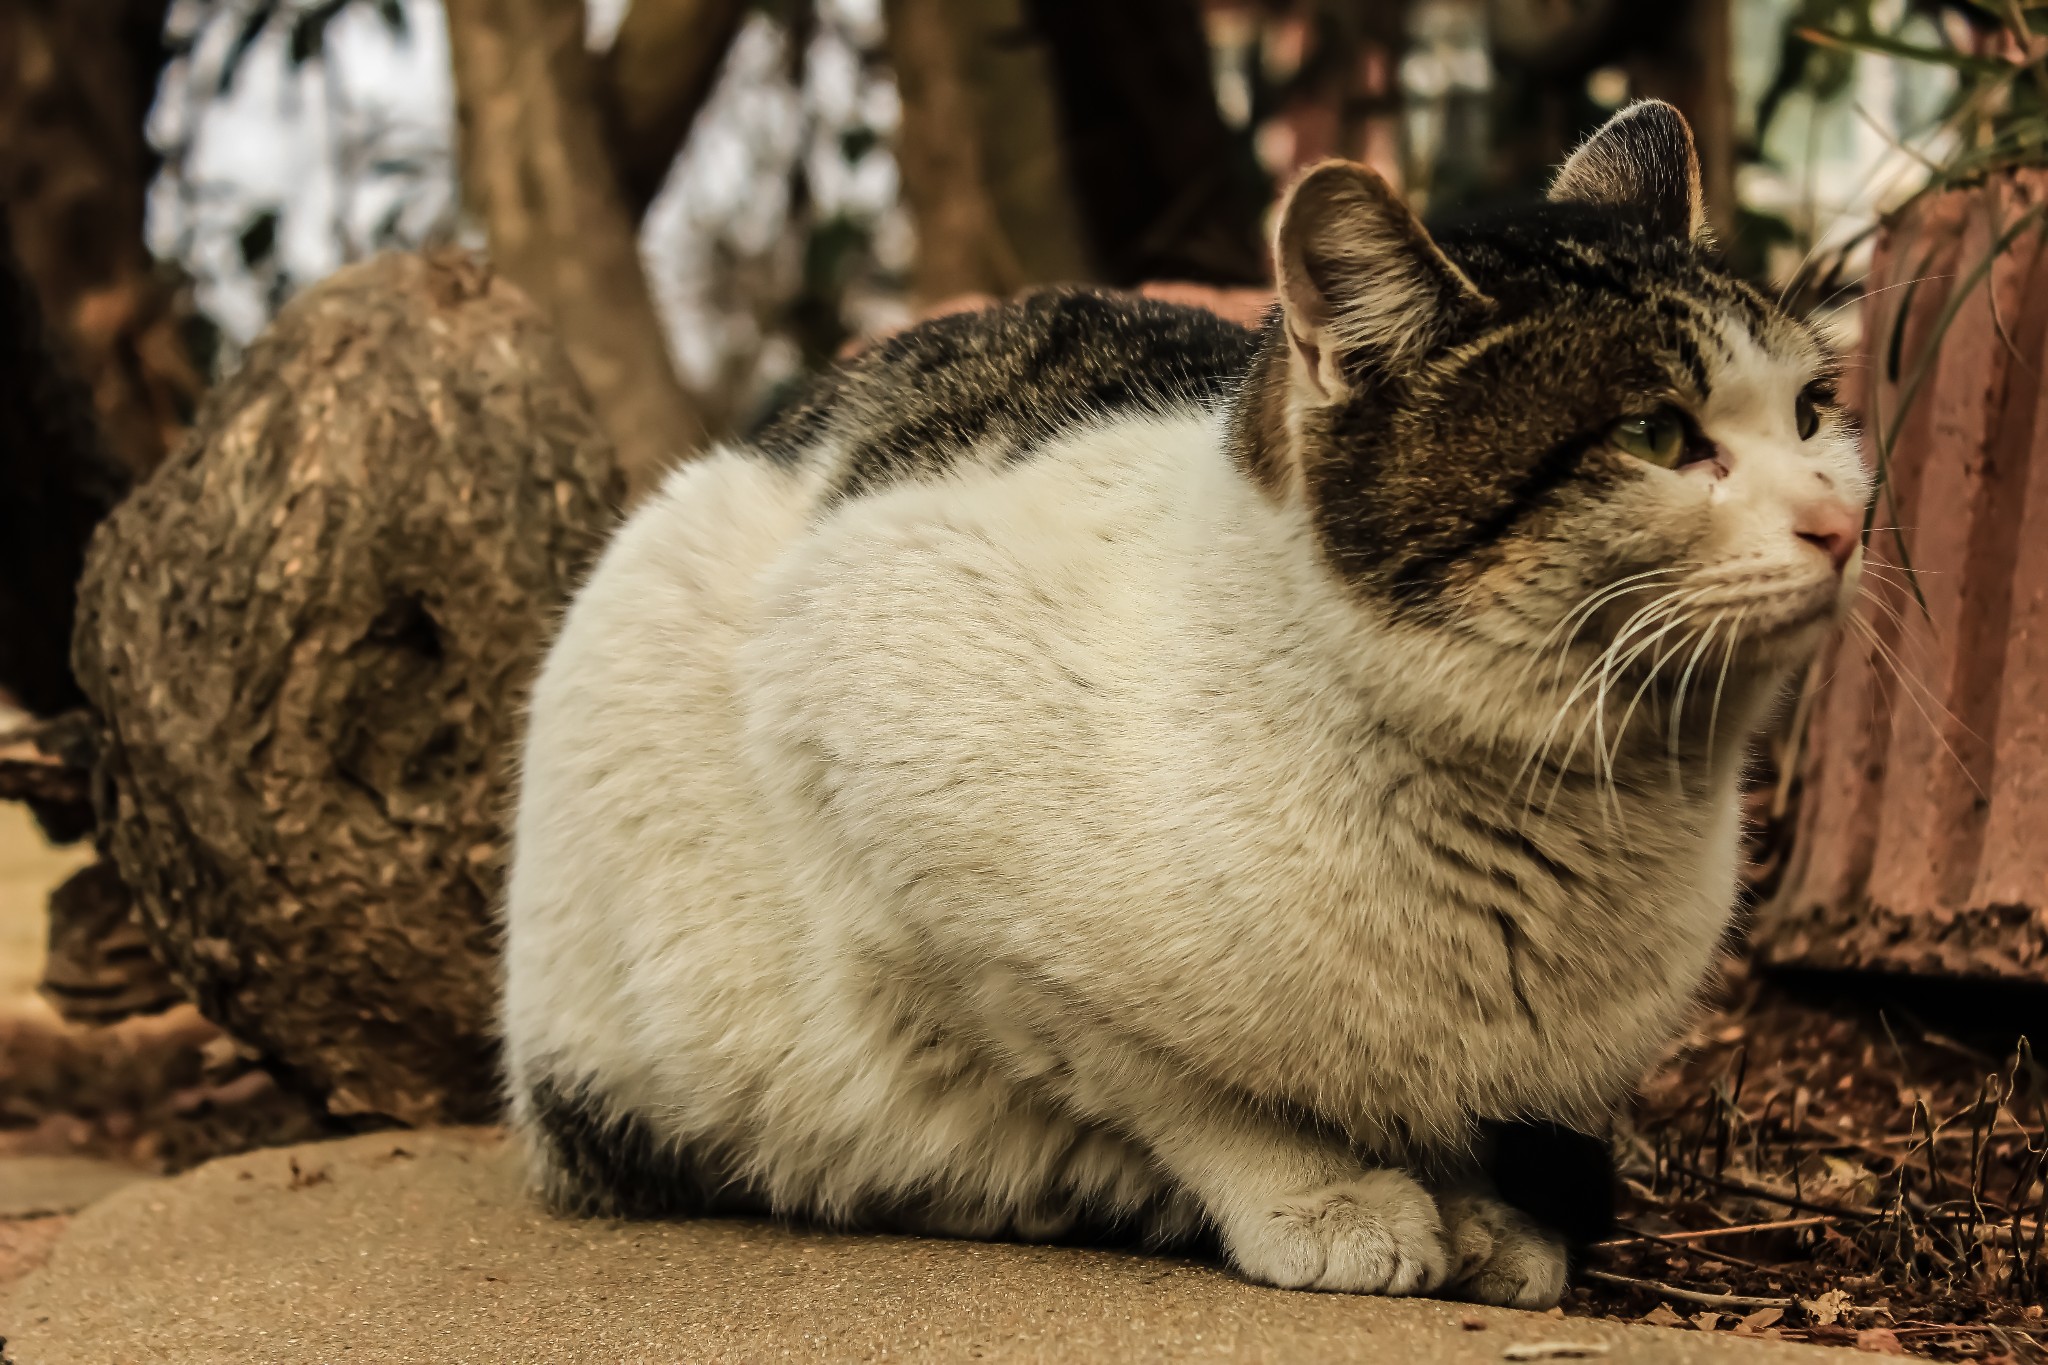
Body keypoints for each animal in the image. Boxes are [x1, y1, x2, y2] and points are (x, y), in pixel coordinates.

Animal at [499, 101, 1875, 1309]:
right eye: (1654, 435)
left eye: (1813, 413)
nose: (1840, 523)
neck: (1569, 822)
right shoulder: (883, 772)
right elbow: (1164, 1081)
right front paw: (1321, 1198)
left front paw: (1476, 1212)